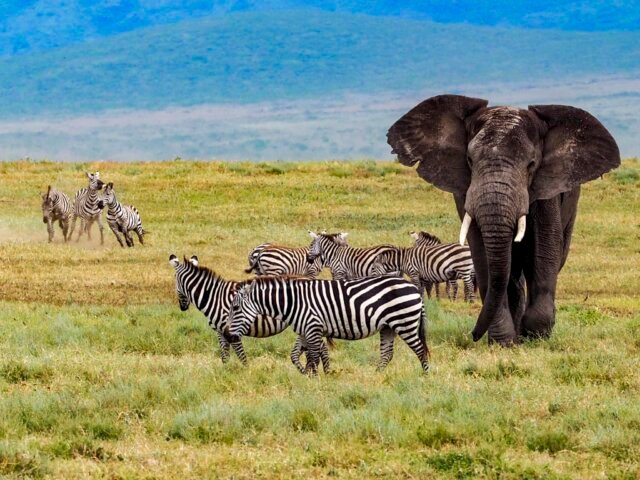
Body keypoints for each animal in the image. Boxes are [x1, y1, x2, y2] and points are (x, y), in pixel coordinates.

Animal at [169, 255, 331, 372]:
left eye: (175, 283)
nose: (182, 308)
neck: (214, 296)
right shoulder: (221, 332)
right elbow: (225, 356)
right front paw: (225, 373)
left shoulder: (232, 331)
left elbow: (241, 356)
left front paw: (247, 371)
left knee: (321, 347)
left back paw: (324, 372)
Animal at [226, 274, 429, 376]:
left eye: (235, 308)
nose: (228, 336)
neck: (293, 302)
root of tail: (413, 288)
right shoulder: (304, 330)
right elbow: (297, 356)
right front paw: (306, 375)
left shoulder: (313, 327)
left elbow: (314, 356)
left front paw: (315, 379)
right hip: (388, 327)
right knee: (387, 354)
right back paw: (376, 377)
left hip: (404, 322)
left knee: (421, 350)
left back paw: (425, 377)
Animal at [387, 94, 620, 346]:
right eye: (469, 160)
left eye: (531, 164)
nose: (473, 335)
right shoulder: (466, 191)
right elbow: (483, 253)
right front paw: (503, 342)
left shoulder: (546, 187)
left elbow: (544, 248)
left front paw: (536, 337)